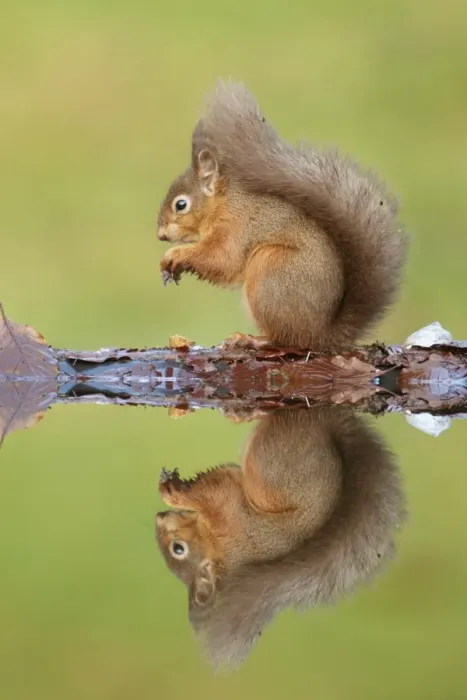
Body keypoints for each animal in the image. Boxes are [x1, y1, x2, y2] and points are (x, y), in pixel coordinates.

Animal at [155, 407, 406, 670]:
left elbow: (214, 484)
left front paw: (173, 492)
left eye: (178, 549)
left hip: (270, 460)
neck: (218, 545)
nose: (159, 519)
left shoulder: (225, 506)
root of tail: (322, 429)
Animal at [157, 80, 408, 351]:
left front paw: (175, 255)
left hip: (271, 273)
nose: (160, 235)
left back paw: (251, 339)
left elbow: (221, 259)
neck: (223, 205)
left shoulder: (236, 228)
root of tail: (322, 334)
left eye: (181, 205)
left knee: (285, 338)